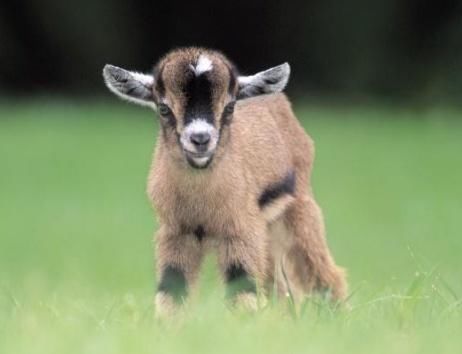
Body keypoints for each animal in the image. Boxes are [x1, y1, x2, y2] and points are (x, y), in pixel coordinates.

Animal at [102, 47, 346, 316]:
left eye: (230, 107)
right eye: (163, 108)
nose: (200, 139)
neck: (200, 204)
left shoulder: (240, 231)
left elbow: (243, 289)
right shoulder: (176, 233)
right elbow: (172, 290)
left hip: (298, 210)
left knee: (326, 274)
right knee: (279, 288)